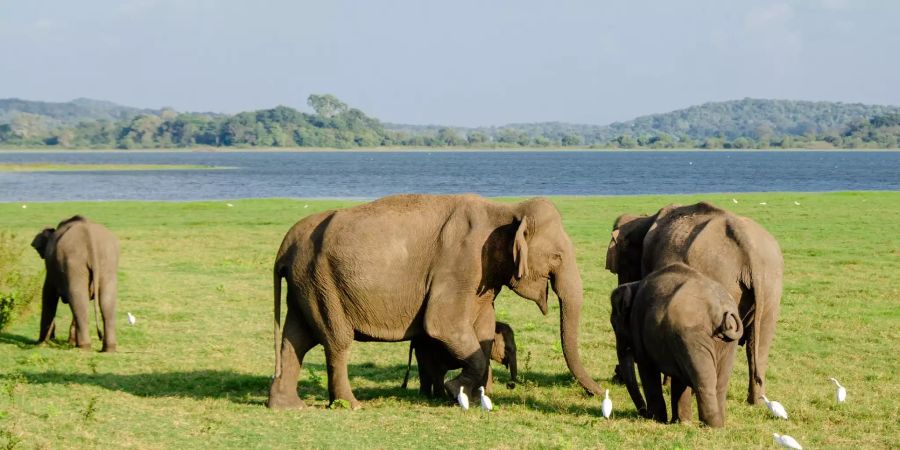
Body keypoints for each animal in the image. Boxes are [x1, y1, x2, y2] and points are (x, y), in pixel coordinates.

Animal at [30, 214, 118, 352]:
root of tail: (90, 239)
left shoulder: (51, 269)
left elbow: (48, 294)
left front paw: (41, 343)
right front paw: (70, 342)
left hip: (73, 262)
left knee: (78, 299)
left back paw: (84, 347)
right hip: (108, 261)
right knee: (105, 302)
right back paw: (108, 349)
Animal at [266, 195, 604, 410]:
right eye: (557, 257)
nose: (601, 393)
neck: (505, 210)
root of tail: (284, 246)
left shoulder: (483, 278)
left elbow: (482, 328)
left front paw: (470, 396)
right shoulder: (460, 264)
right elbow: (442, 324)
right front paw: (456, 392)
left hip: (306, 284)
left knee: (296, 338)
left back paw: (287, 406)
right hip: (322, 283)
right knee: (336, 341)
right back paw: (350, 405)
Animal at [608, 201, 784, 404]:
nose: (616, 376)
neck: (644, 219)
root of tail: (748, 246)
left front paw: (667, 383)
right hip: (771, 284)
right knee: (759, 342)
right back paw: (756, 401)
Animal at [608, 262, 740, 428]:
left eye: (614, 325)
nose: (643, 413)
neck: (634, 284)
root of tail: (720, 309)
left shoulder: (639, 327)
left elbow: (647, 369)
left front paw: (657, 419)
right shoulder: (677, 344)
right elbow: (679, 378)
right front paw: (682, 422)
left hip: (693, 337)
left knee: (704, 380)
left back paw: (710, 425)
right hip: (725, 344)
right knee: (720, 384)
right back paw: (719, 426)